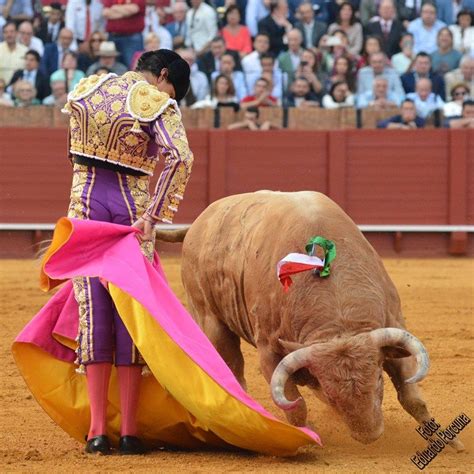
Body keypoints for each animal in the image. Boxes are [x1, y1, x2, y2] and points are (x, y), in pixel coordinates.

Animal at [157, 191, 464, 450]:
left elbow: (412, 398)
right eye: (331, 393)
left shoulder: (394, 329)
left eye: (378, 379)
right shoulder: (269, 352)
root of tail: (197, 224)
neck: (339, 316)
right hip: (210, 319)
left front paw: (449, 442)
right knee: (233, 368)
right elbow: (296, 405)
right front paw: (304, 440)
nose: (369, 436)